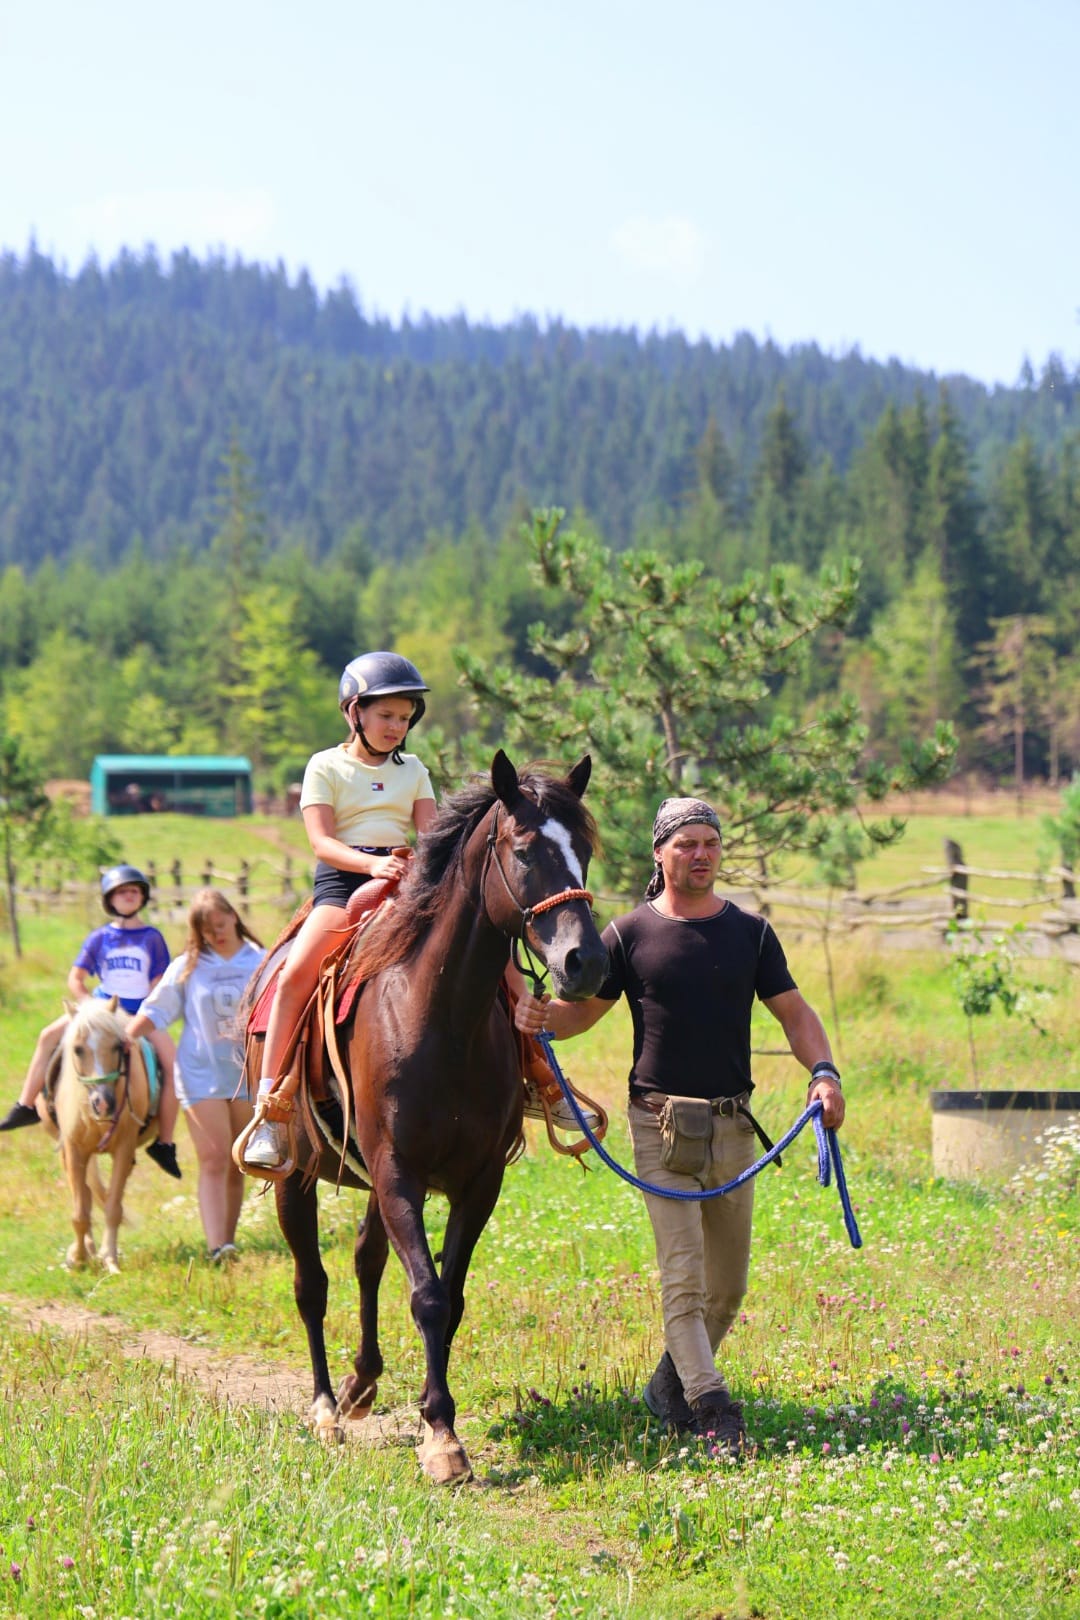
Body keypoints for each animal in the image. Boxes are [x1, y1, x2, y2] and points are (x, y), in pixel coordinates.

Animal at [44, 991, 159, 1270]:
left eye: (118, 1046)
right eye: (77, 1049)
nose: (103, 1103)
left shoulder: (124, 1150)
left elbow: (112, 1207)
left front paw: (110, 1259)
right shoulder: (74, 1150)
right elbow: (79, 1211)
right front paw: (78, 1257)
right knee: (84, 1196)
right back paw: (86, 1249)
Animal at [254, 745, 608, 1483]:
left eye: (584, 848)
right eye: (525, 850)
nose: (585, 962)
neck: (437, 1017)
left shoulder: (477, 1181)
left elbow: (451, 1296)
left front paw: (431, 1420)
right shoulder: (398, 1173)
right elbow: (427, 1296)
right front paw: (441, 1437)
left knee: (364, 1260)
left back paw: (360, 1385)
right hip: (299, 1177)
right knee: (311, 1284)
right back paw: (326, 1408)